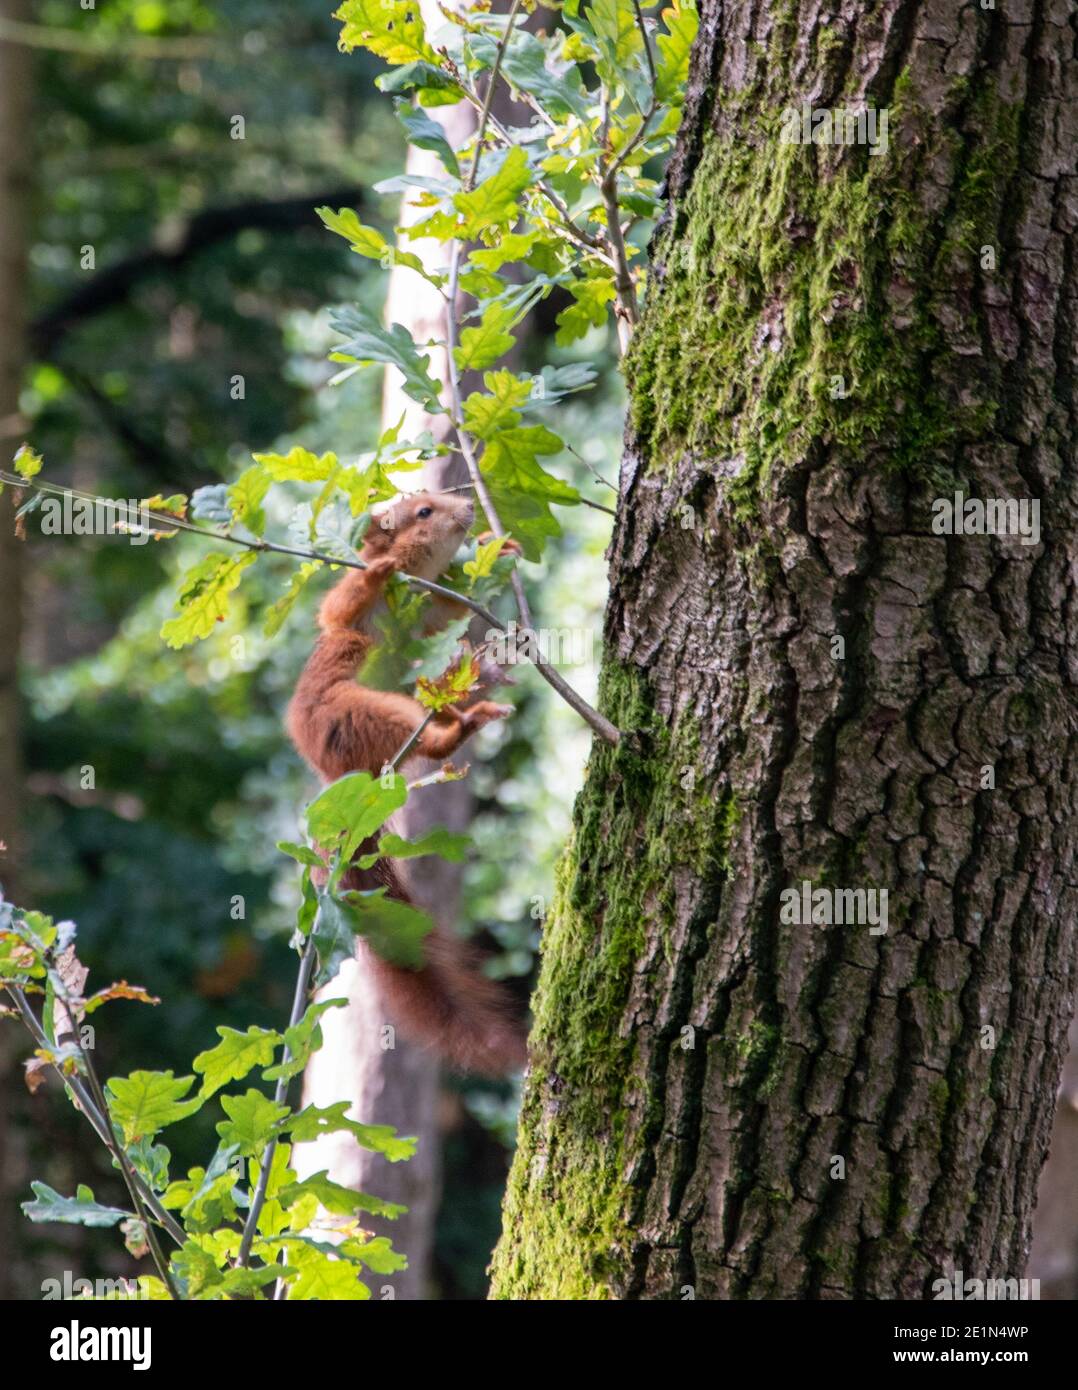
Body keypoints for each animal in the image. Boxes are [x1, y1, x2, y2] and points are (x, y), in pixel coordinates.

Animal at [284, 489, 525, 1073]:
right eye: (423, 512)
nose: (467, 510)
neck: (414, 586)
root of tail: (340, 777)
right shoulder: (354, 613)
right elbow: (338, 607)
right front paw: (379, 568)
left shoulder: (427, 617)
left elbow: (448, 613)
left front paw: (499, 546)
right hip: (363, 710)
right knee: (422, 736)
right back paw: (460, 726)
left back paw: (472, 705)